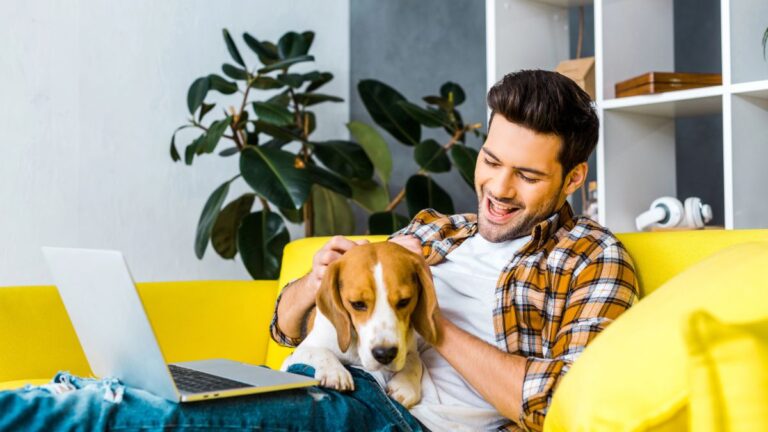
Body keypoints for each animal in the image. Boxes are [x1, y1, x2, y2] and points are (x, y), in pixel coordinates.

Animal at [280, 243, 438, 408]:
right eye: (357, 304)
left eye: (404, 301)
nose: (384, 354)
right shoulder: (297, 353)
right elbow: (320, 352)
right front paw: (335, 372)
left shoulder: (410, 348)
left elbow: (415, 361)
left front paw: (405, 385)